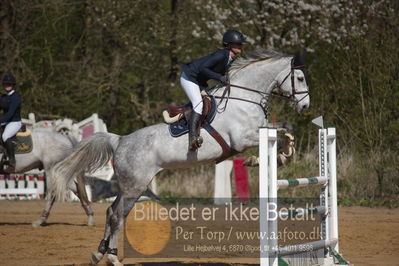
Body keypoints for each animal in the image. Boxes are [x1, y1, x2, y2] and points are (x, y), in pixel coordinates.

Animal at [51, 48, 310, 264]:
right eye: (299, 78)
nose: (306, 106)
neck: (245, 98)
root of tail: (120, 140)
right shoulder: (243, 138)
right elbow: (276, 134)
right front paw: (260, 159)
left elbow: (286, 129)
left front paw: (284, 154)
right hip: (135, 186)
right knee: (116, 215)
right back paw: (112, 258)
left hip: (130, 186)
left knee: (111, 212)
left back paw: (100, 253)